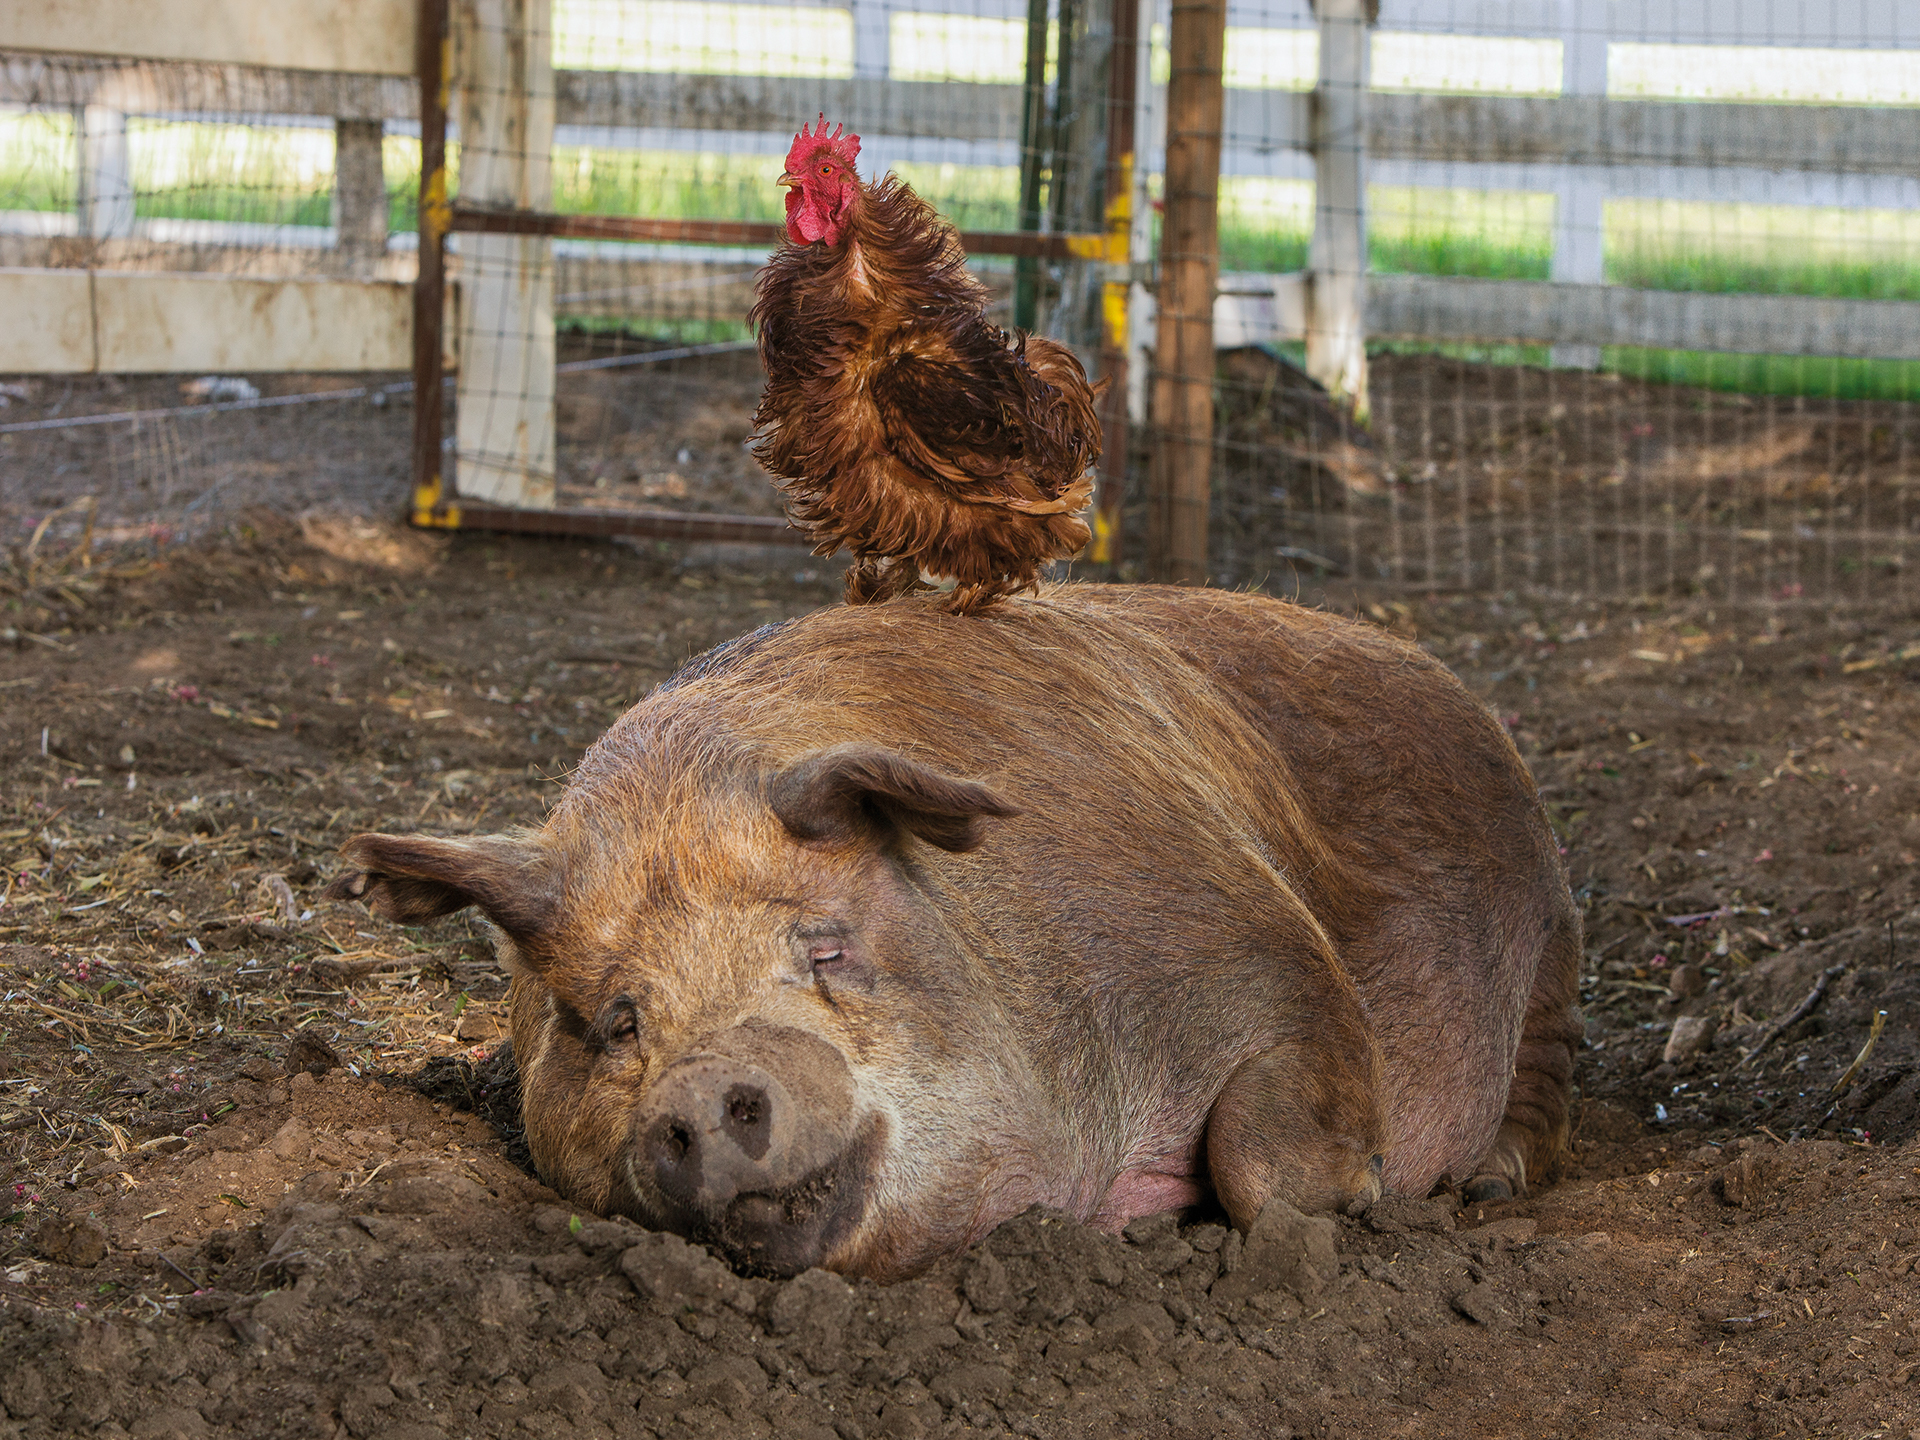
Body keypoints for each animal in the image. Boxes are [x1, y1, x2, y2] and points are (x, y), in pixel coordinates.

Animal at [325, 585, 1581, 1280]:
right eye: (615, 1018)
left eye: (827, 947)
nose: (711, 1084)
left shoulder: (1272, 954)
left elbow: (1264, 1152)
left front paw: (1365, 1199)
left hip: (1556, 926)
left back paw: (1488, 1188)